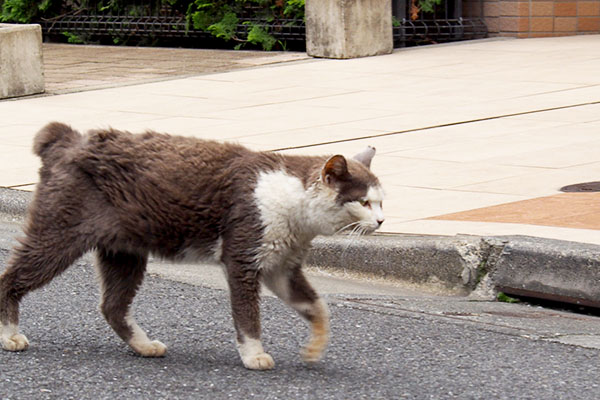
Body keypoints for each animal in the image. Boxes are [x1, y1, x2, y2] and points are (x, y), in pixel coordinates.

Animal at [0, 121, 384, 368]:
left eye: (382, 202)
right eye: (364, 202)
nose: (382, 221)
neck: (295, 206)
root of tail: (66, 139)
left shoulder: (282, 266)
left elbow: (317, 307)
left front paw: (314, 349)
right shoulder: (242, 257)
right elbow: (248, 315)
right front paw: (253, 356)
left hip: (124, 250)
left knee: (112, 305)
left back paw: (144, 346)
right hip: (60, 233)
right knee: (10, 279)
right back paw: (10, 336)